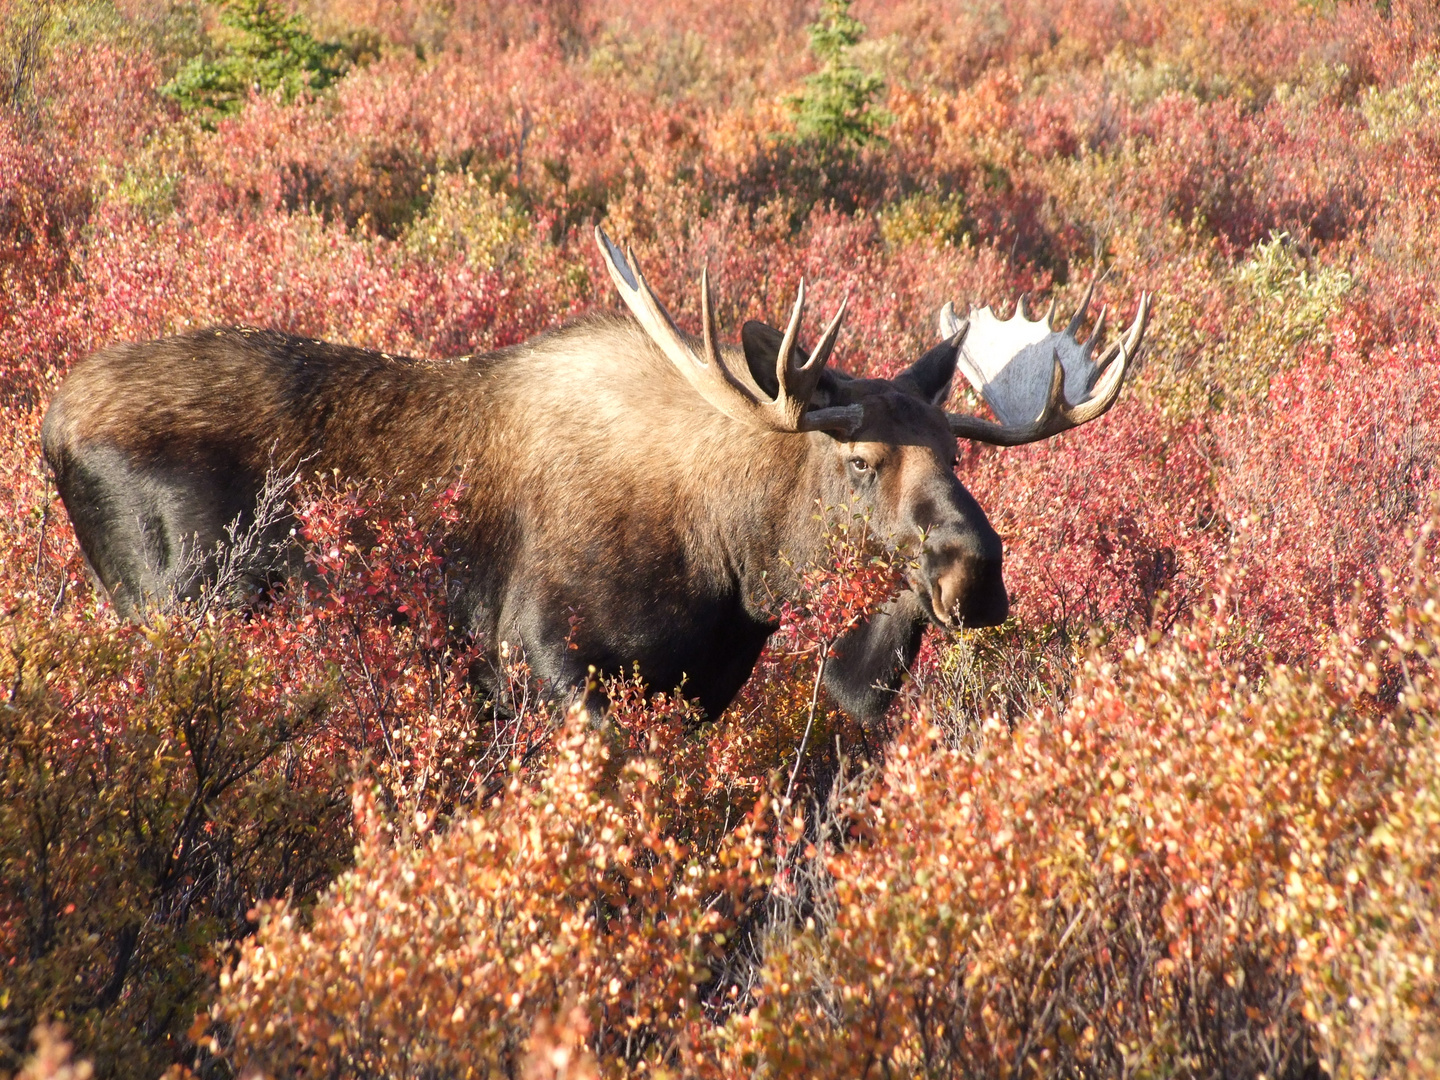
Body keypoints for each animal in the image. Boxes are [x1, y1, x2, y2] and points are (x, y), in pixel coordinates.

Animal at [39, 233, 1152, 731]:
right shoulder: (540, 657)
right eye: (857, 461)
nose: (977, 572)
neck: (736, 570)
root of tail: (49, 425)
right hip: (171, 609)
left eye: (959, 456)